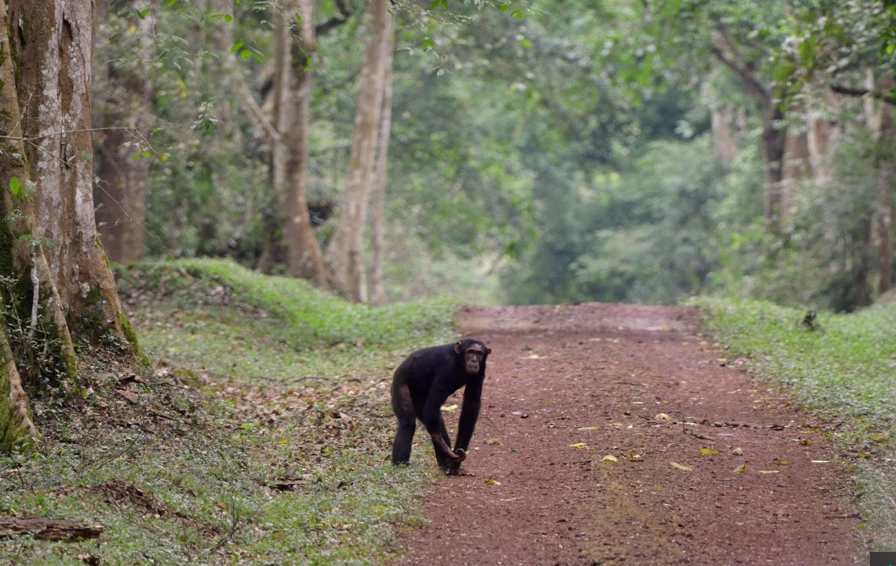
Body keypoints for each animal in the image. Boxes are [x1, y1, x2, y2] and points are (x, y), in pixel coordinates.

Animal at [390, 340, 490, 478]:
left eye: (479, 353)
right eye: (470, 352)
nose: (474, 360)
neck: (459, 361)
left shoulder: (481, 370)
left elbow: (470, 405)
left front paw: (456, 465)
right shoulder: (447, 368)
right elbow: (433, 404)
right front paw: (443, 446)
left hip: (419, 399)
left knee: (435, 421)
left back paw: (445, 465)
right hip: (400, 382)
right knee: (408, 423)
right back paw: (400, 467)